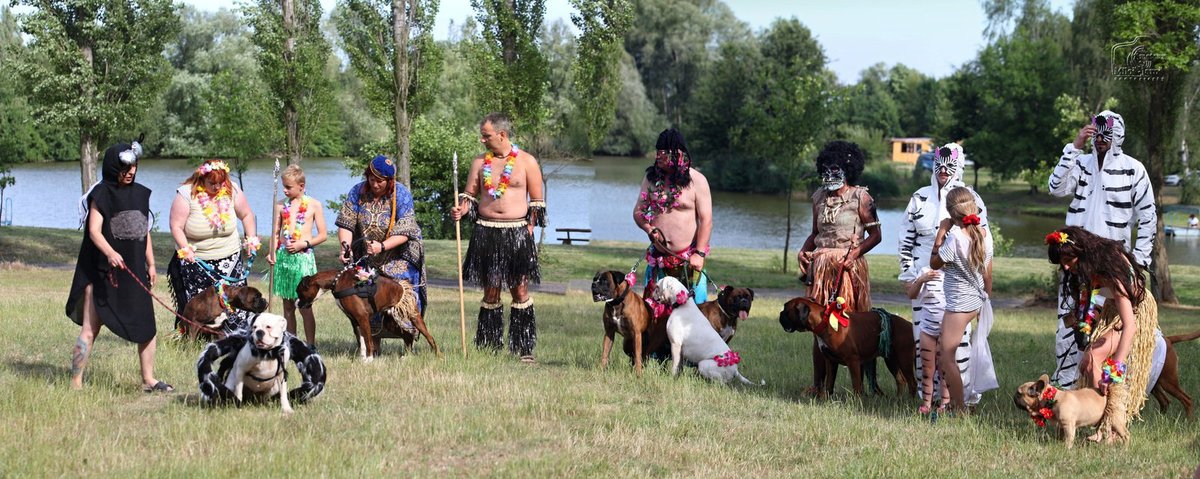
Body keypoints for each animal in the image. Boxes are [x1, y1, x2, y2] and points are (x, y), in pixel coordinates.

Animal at [777, 297, 916, 398]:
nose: (780, 314)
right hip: (891, 360)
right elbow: (829, 383)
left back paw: (909, 400)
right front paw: (825, 399)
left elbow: (856, 384)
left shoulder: (853, 361)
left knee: (912, 382)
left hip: (904, 360)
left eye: (786, 309)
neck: (825, 322)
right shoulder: (831, 362)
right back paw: (898, 399)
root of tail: (910, 325)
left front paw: (857, 401)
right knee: (901, 380)